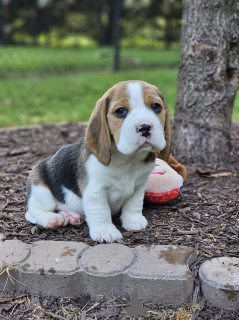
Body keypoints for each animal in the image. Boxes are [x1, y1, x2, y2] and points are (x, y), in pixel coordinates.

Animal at [25, 80, 171, 242]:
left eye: (156, 106)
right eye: (120, 111)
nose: (145, 127)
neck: (128, 159)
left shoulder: (140, 185)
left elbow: (134, 203)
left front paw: (133, 220)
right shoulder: (95, 191)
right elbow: (101, 211)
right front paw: (106, 231)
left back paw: (71, 216)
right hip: (40, 190)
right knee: (33, 212)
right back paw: (52, 219)